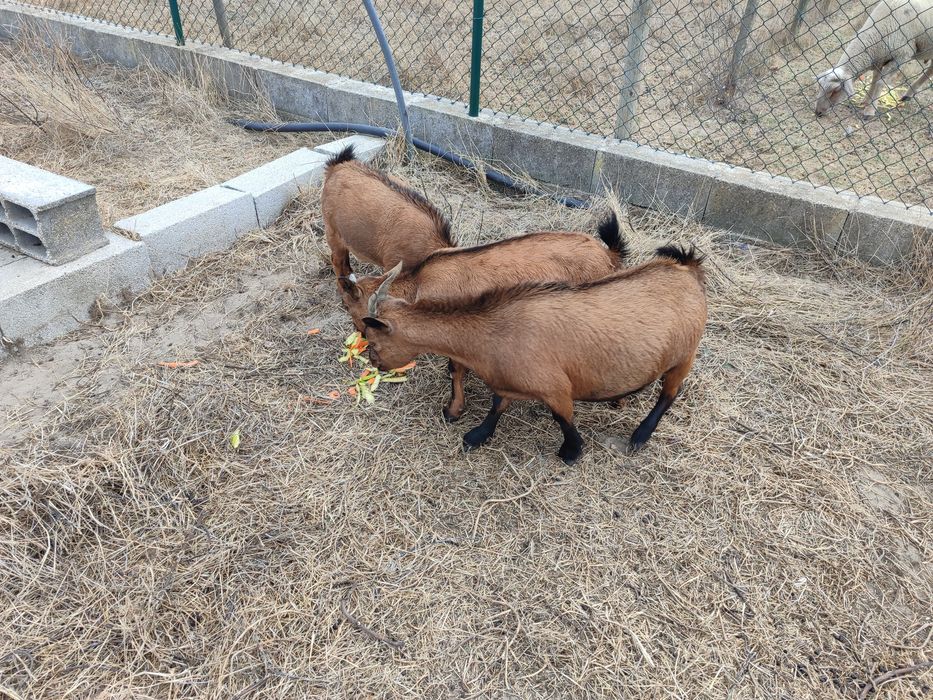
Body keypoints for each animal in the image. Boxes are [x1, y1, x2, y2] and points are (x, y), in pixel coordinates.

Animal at [340, 213, 628, 421]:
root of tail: (608, 255)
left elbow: (456, 370)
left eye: (348, 305)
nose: (364, 343)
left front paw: (453, 411)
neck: (419, 284)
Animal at [361, 245, 707, 465]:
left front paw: (571, 452)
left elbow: (563, 417)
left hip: (685, 356)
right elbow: (497, 405)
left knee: (668, 395)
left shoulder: (555, 387)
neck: (492, 330)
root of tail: (686, 271)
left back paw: (639, 436)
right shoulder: (507, 381)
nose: (376, 364)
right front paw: (477, 435)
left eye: (372, 340)